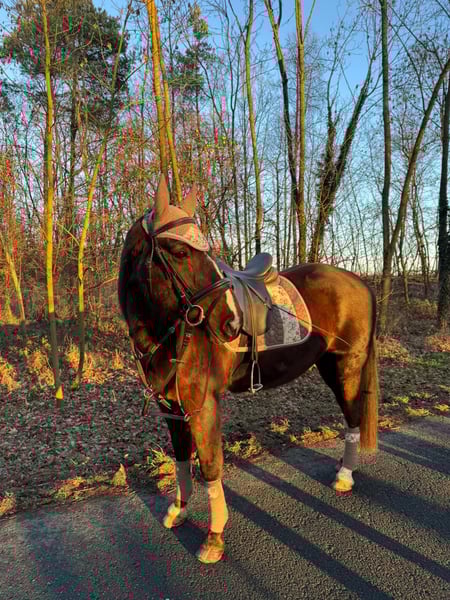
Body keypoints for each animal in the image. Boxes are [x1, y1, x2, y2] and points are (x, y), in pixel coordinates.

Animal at [118, 175, 379, 564]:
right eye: (180, 252)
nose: (230, 324)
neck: (171, 331)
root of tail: (359, 281)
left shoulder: (203, 405)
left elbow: (210, 464)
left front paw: (214, 536)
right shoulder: (172, 407)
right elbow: (181, 459)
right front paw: (179, 510)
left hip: (345, 367)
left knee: (353, 415)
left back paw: (345, 475)